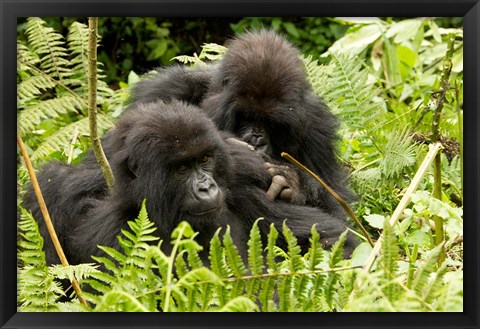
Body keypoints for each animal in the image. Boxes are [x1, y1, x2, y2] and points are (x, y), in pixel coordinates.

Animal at [24, 98, 358, 266]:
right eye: (182, 168)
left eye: (205, 160)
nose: (207, 187)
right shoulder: (108, 238)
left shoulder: (241, 189)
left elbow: (335, 239)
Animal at [125, 28, 354, 218]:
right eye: (246, 116)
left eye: (271, 122)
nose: (256, 138)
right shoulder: (165, 91)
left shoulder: (317, 126)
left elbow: (339, 206)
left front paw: (293, 181)